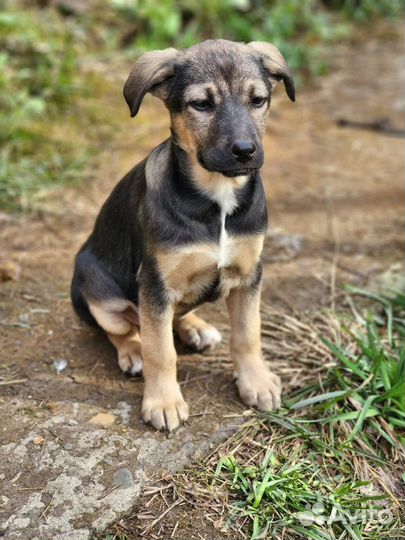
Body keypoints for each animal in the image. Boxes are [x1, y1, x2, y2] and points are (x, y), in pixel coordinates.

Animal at [72, 39, 294, 430]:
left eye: (258, 100)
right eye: (201, 104)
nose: (245, 151)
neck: (217, 199)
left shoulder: (250, 275)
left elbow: (248, 334)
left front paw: (256, 382)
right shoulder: (155, 283)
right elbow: (161, 351)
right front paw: (163, 402)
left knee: (173, 315)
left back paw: (196, 327)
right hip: (99, 289)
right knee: (121, 328)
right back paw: (132, 351)